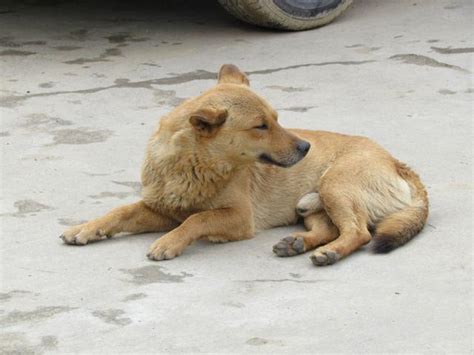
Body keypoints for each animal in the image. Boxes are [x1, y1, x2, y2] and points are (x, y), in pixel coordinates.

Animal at [60, 64, 430, 266]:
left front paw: (169, 242)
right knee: (331, 229)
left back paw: (330, 254)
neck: (191, 165)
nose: (305, 147)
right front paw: (86, 228)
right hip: (312, 207)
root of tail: (397, 163)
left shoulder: (239, 217)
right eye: (261, 126)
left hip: (335, 185)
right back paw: (298, 244)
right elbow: (121, 211)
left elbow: (197, 218)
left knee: (359, 232)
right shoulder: (162, 209)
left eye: (277, 119)